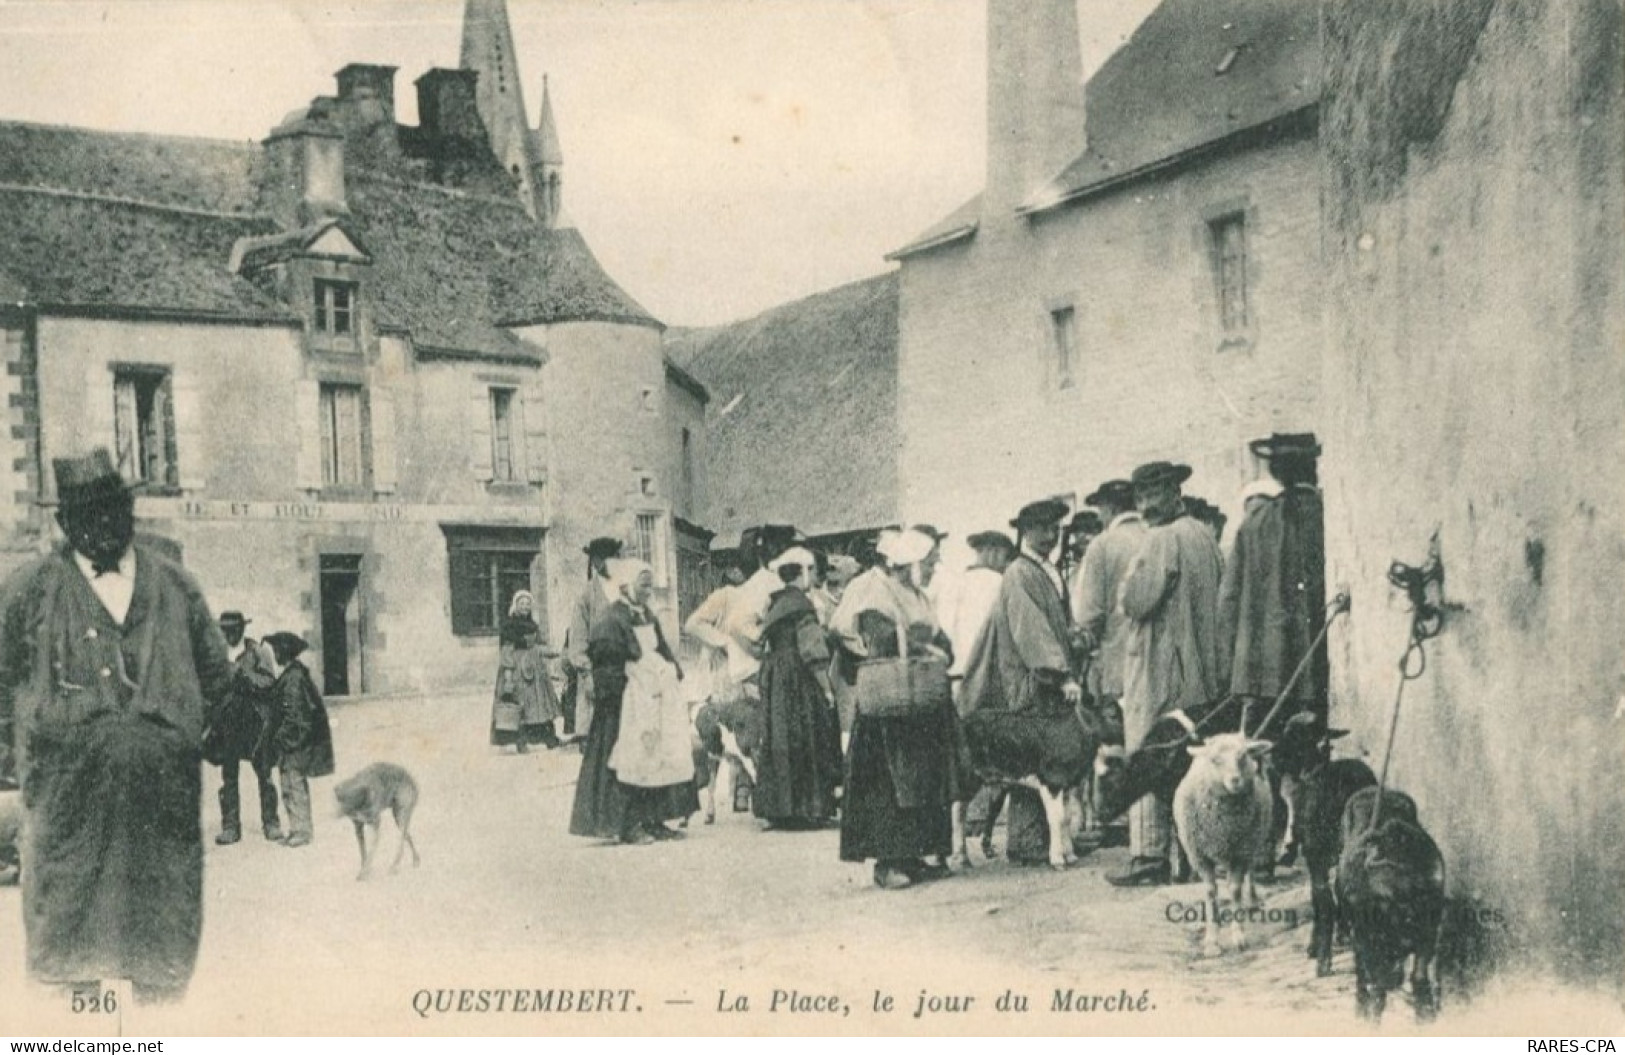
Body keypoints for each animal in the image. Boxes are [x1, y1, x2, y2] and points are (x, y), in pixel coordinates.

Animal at [1176, 731, 1274, 955]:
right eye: (1215, 760)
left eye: (1243, 756)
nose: (1235, 780)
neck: (1222, 825)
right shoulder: (1200, 855)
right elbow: (1211, 891)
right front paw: (1212, 941)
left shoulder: (1240, 852)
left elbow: (1235, 889)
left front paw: (1238, 936)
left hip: (1253, 840)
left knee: (1251, 872)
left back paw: (1252, 900)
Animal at [1332, 780, 1449, 1020]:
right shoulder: (1365, 940)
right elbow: (1374, 985)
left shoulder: (1427, 934)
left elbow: (1418, 976)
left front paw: (1425, 1014)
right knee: (1363, 976)